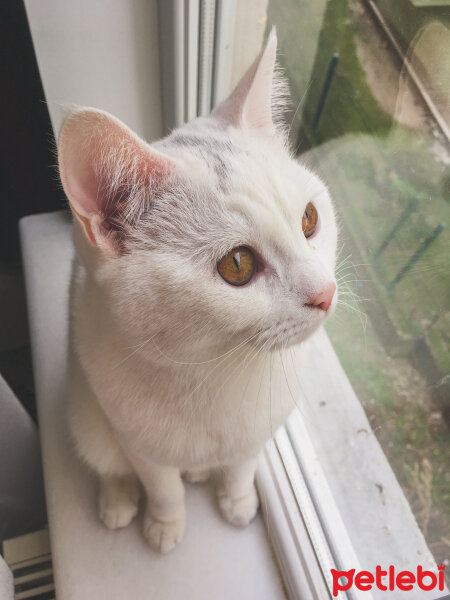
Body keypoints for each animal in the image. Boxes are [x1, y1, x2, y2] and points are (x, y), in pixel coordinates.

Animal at [57, 29, 338, 552]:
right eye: (238, 265)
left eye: (310, 219)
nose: (326, 292)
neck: (216, 370)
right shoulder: (138, 441)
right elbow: (160, 484)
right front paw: (165, 523)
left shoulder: (260, 429)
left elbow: (245, 462)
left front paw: (237, 498)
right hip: (86, 411)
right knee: (105, 458)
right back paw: (118, 500)